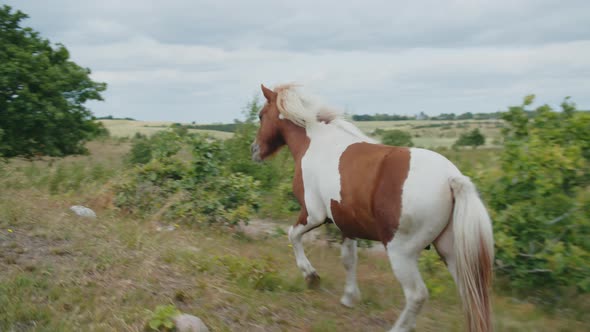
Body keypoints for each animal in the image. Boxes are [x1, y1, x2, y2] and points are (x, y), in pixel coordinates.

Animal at [252, 84, 498, 332]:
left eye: (261, 115)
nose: (254, 150)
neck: (315, 143)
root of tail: (451, 178)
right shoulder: (346, 223)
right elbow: (348, 259)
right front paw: (349, 297)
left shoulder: (313, 214)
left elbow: (293, 235)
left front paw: (311, 275)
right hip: (451, 252)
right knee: (470, 295)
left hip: (401, 251)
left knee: (417, 295)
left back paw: (399, 328)